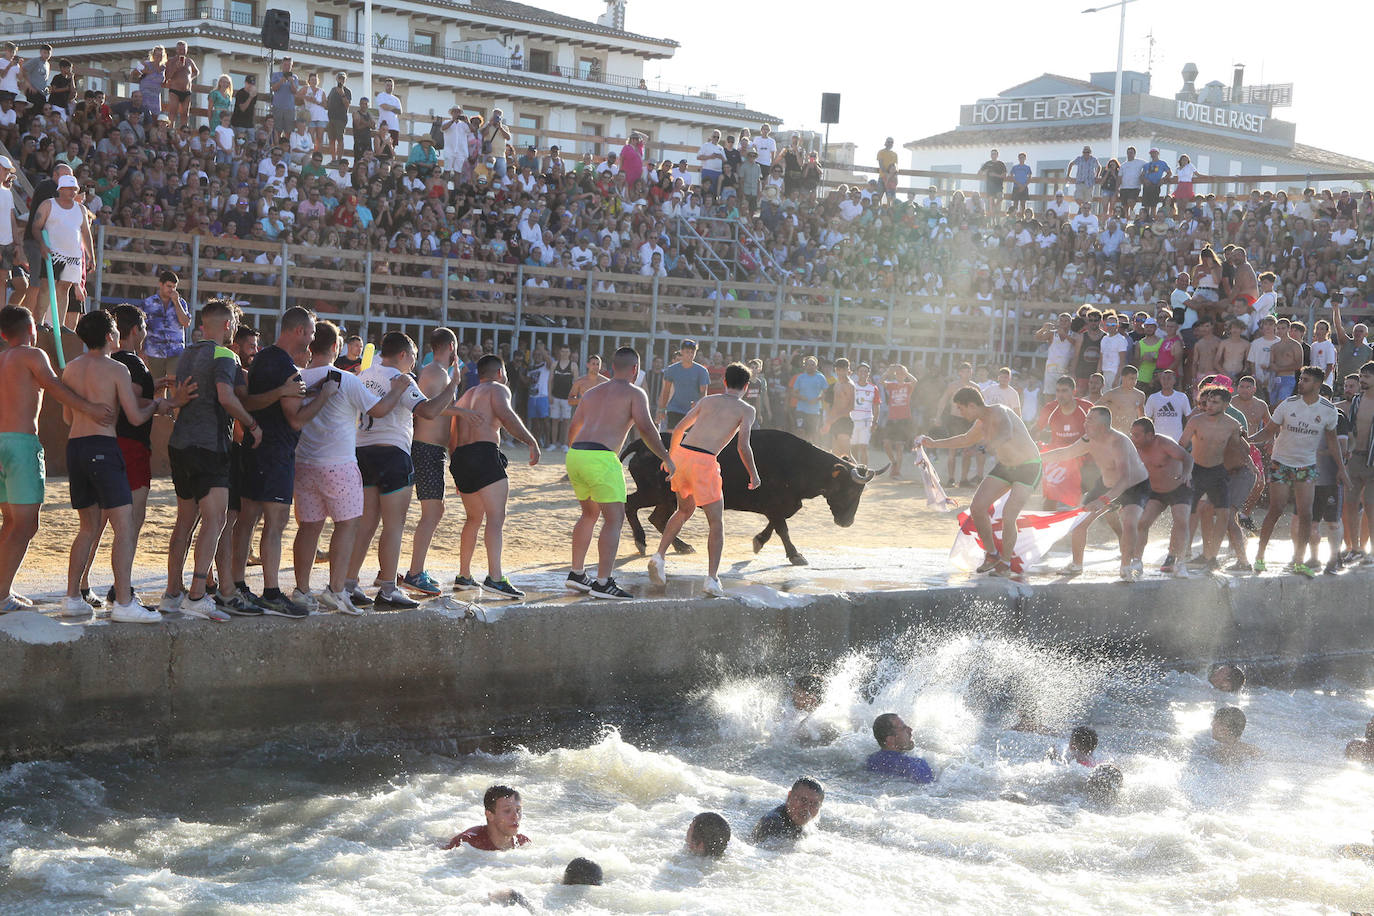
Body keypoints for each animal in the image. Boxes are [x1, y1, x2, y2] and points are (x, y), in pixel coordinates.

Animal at [618, 431, 884, 565]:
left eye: (860, 493)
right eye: (850, 490)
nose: (847, 522)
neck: (800, 463)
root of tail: (641, 443)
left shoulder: (781, 506)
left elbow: (775, 526)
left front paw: (759, 541)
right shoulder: (775, 505)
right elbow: (782, 528)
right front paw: (796, 555)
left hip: (667, 498)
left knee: (658, 519)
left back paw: (682, 546)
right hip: (654, 492)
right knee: (631, 505)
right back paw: (641, 541)